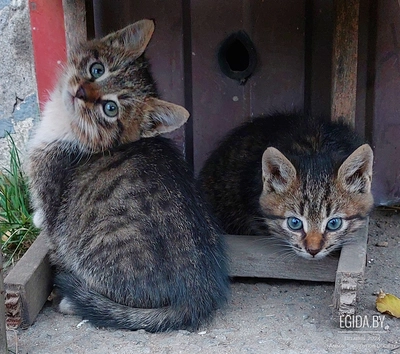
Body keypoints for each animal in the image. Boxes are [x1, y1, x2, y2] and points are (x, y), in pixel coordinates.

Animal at [25, 19, 228, 334]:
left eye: (111, 108)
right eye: (97, 69)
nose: (80, 92)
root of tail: (198, 292)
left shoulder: (54, 212)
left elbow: (52, 235)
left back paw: (76, 302)